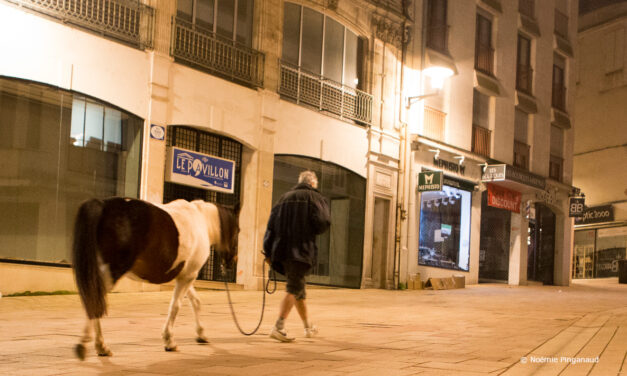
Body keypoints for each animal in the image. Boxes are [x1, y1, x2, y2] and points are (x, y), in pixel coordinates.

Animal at [72, 195, 240, 360]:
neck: (202, 221)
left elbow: (195, 302)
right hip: (110, 274)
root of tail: (103, 205)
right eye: (238, 230)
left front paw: (201, 334)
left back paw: (97, 346)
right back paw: (95, 346)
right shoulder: (188, 277)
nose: (232, 261)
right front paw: (169, 341)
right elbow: (175, 306)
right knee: (95, 303)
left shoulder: (185, 275)